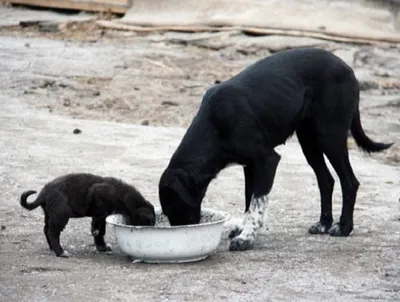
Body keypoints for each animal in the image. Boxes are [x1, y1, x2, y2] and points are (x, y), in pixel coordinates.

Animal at [19, 172, 155, 258]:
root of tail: (44, 193)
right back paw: (60, 252)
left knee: (46, 229)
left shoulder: (102, 216)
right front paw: (96, 233)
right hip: (61, 213)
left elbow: (101, 232)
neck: (123, 197)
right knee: (53, 232)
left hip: (49, 214)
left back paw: (53, 248)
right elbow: (98, 227)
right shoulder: (98, 200)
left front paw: (102, 247)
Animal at [158, 46, 392, 250]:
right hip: (309, 141)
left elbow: (256, 203)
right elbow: (249, 200)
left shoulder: (266, 160)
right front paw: (244, 229)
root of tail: (348, 69)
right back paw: (324, 223)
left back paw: (344, 227)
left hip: (330, 137)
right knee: (326, 181)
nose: (181, 235)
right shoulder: (250, 166)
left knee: (349, 182)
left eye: (173, 207)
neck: (214, 126)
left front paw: (246, 237)